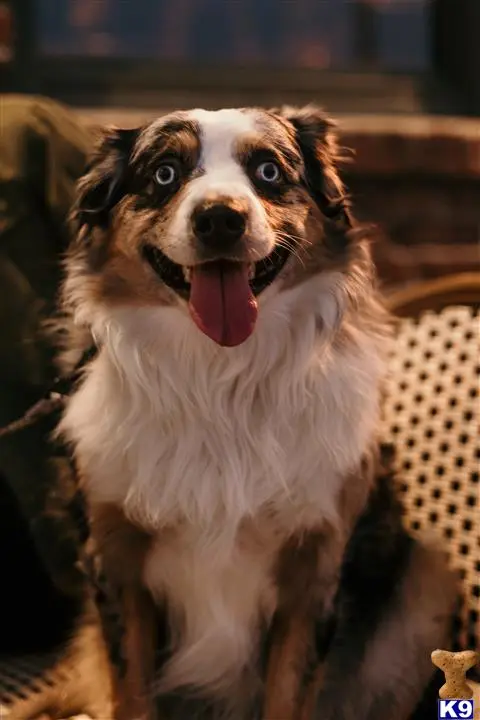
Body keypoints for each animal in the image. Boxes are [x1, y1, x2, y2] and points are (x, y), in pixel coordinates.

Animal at [58, 105, 456, 720]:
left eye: (268, 171)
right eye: (165, 173)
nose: (220, 219)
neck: (219, 379)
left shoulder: (312, 569)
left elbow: (288, 692)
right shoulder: (116, 562)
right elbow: (132, 692)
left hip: (430, 582)